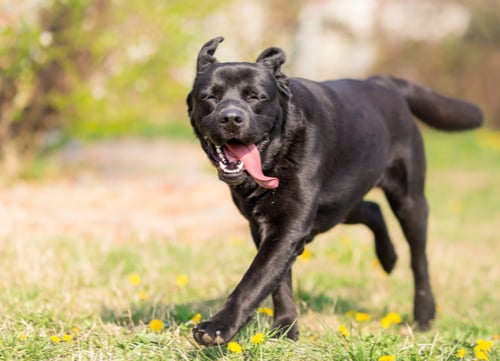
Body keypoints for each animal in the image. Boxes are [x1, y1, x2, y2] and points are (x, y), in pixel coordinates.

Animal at [186, 37, 482, 346]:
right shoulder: (266, 227)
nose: (231, 118)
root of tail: (382, 82)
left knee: (418, 259)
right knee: (371, 209)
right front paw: (286, 328)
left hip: (409, 202)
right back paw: (388, 258)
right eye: (210, 97)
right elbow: (278, 281)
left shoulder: (289, 227)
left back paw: (423, 313)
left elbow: (255, 280)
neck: (275, 157)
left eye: (255, 97)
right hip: (338, 206)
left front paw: (218, 326)